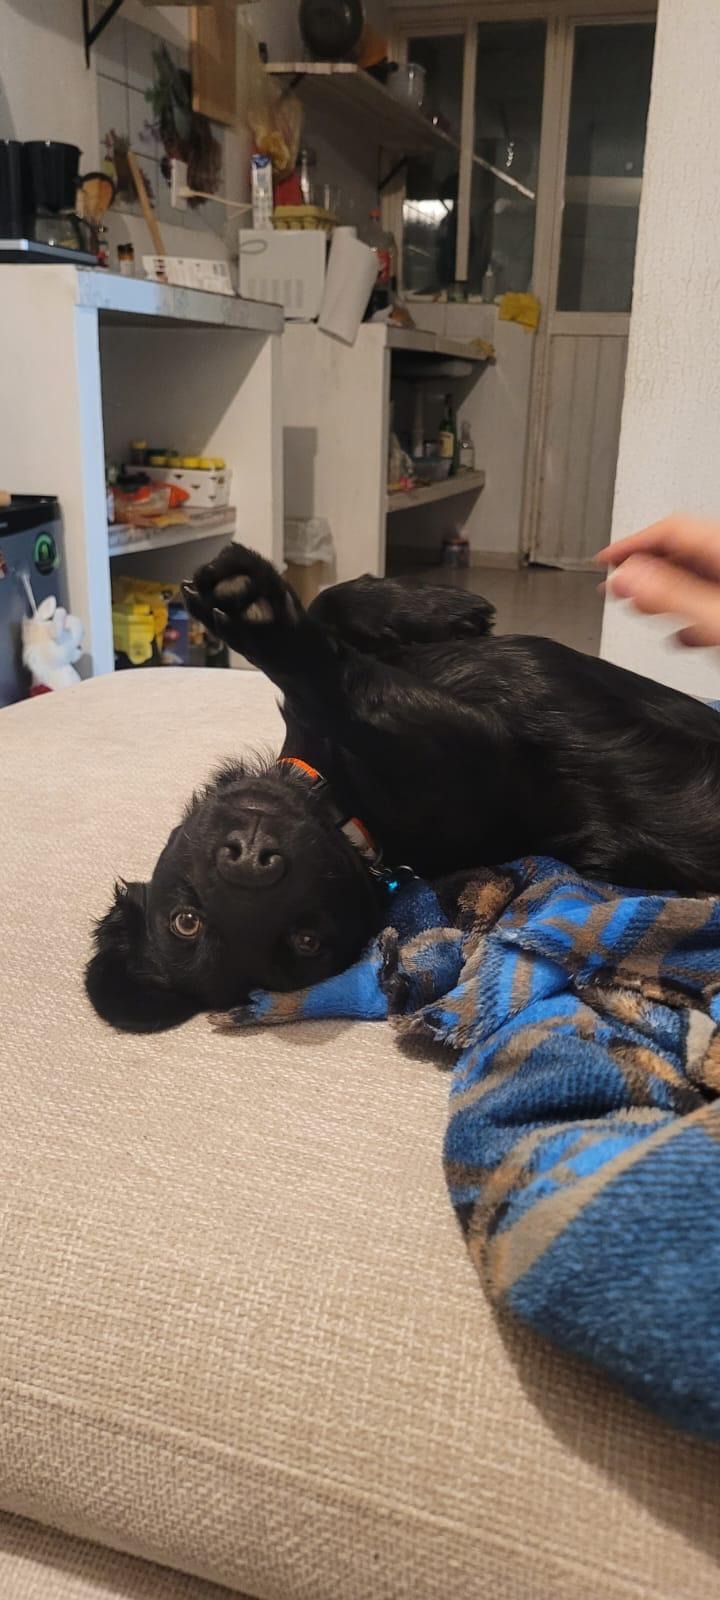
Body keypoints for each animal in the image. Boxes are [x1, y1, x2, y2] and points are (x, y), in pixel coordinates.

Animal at [85, 542, 720, 1032]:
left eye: (183, 920)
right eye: (307, 942)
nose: (251, 862)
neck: (343, 798)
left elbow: (329, 603)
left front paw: (445, 608)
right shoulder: (473, 754)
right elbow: (342, 679)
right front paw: (258, 614)